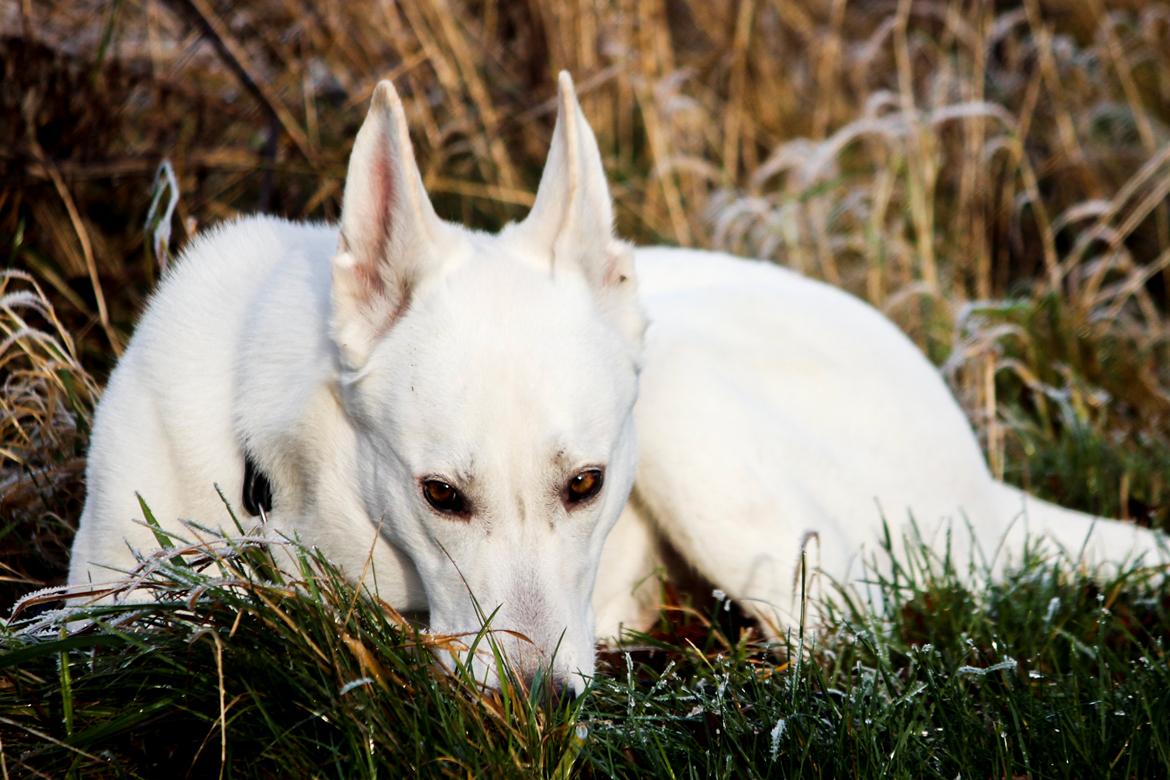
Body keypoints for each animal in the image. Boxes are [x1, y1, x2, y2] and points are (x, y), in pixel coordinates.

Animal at [66, 73, 1170, 696]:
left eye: (586, 485)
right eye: (440, 496)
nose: (546, 703)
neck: (288, 481)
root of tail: (979, 474)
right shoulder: (90, 611)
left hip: (686, 402)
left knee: (838, 631)